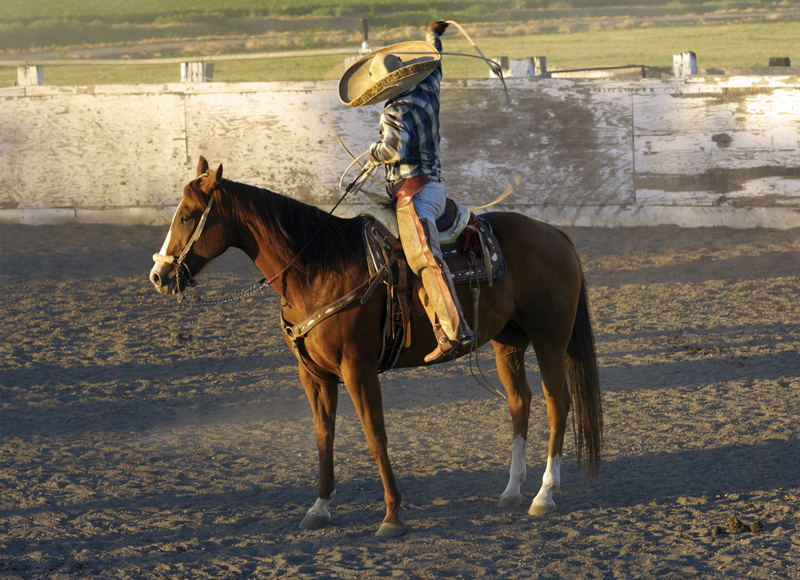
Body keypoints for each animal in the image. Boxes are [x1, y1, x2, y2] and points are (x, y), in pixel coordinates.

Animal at [148, 156, 600, 536]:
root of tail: (555, 233)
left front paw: (393, 515)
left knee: (558, 403)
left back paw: (544, 494)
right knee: (520, 402)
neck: (317, 267)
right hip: (508, 343)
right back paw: (512, 490)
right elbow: (323, 435)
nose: (158, 275)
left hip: (550, 339)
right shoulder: (313, 374)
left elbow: (375, 435)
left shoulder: (358, 369)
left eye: (187, 215)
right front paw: (319, 507)